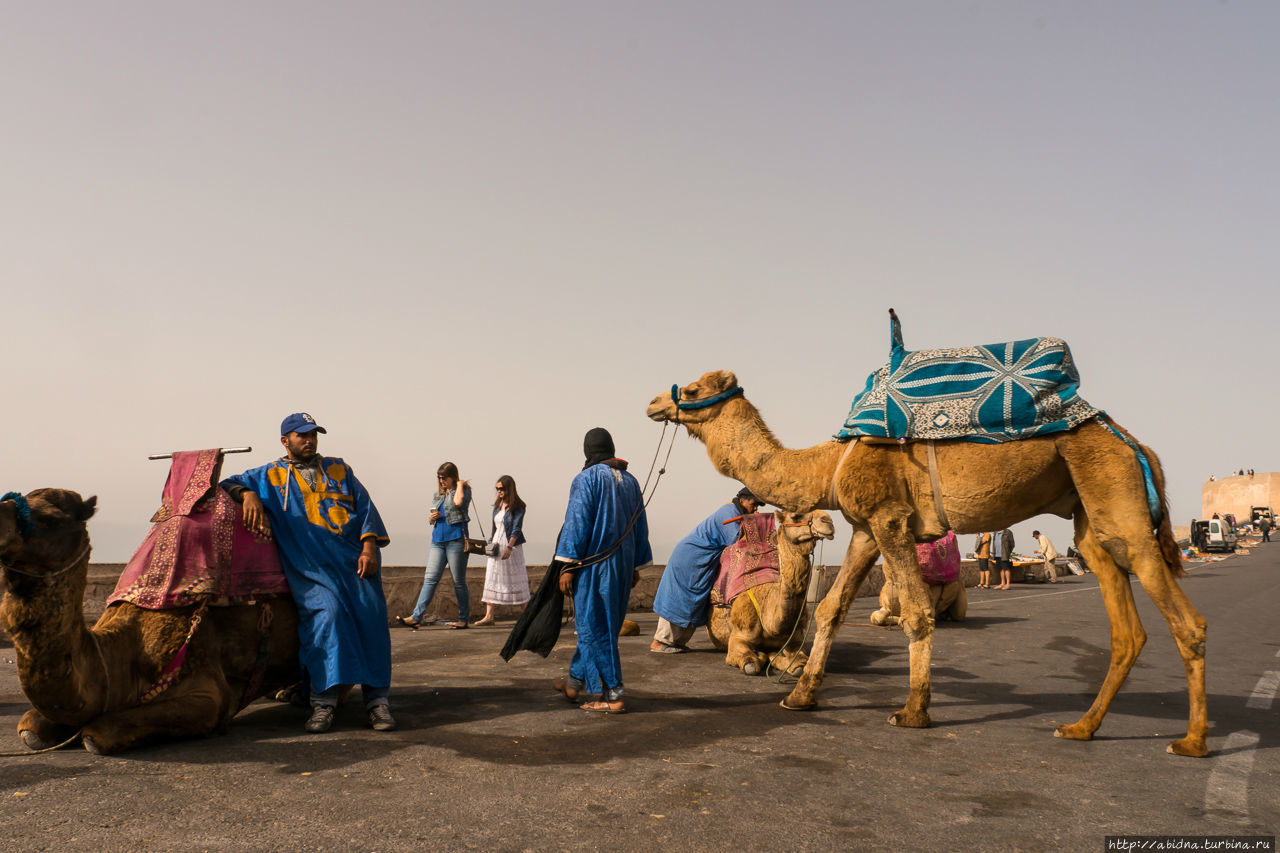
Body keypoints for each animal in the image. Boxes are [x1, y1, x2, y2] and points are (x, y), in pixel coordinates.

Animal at [706, 507, 834, 676]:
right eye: (795, 516)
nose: (828, 521)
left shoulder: (796, 639)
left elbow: (799, 663)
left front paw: (780, 659)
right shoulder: (739, 636)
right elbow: (750, 664)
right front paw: (761, 655)